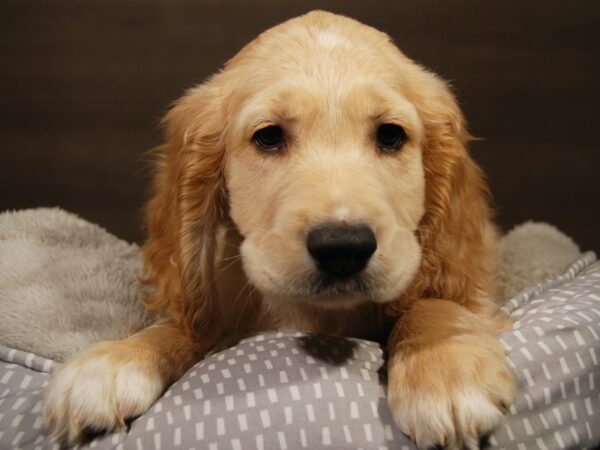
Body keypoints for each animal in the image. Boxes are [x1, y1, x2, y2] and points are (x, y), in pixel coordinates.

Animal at [45, 10, 516, 450]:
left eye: (390, 135)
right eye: (269, 137)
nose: (343, 248)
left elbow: (434, 300)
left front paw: (443, 361)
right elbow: (189, 325)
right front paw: (119, 357)